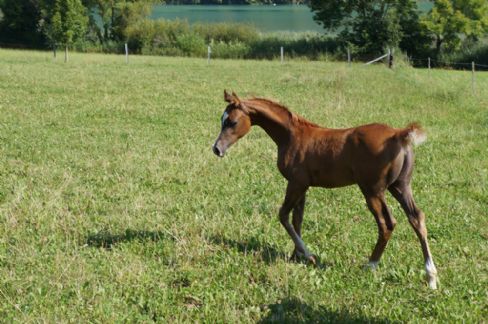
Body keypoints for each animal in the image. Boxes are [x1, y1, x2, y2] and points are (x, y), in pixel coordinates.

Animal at [212, 90, 436, 288]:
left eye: (232, 122)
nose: (217, 149)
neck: (292, 136)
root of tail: (398, 135)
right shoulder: (302, 186)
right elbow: (297, 219)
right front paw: (295, 255)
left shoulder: (296, 183)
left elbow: (283, 215)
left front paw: (309, 255)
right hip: (400, 187)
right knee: (417, 218)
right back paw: (431, 276)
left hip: (373, 190)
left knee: (387, 223)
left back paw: (370, 265)